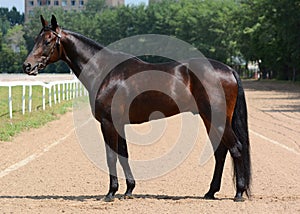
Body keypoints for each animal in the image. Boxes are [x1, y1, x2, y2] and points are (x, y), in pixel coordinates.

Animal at [22, 15, 251, 202]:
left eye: (48, 40)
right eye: (36, 39)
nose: (27, 66)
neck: (105, 71)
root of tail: (229, 69)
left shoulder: (107, 123)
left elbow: (111, 156)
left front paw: (111, 193)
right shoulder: (119, 124)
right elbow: (124, 154)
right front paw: (129, 190)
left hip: (217, 119)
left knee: (236, 148)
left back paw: (239, 193)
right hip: (209, 119)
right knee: (221, 152)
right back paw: (210, 192)